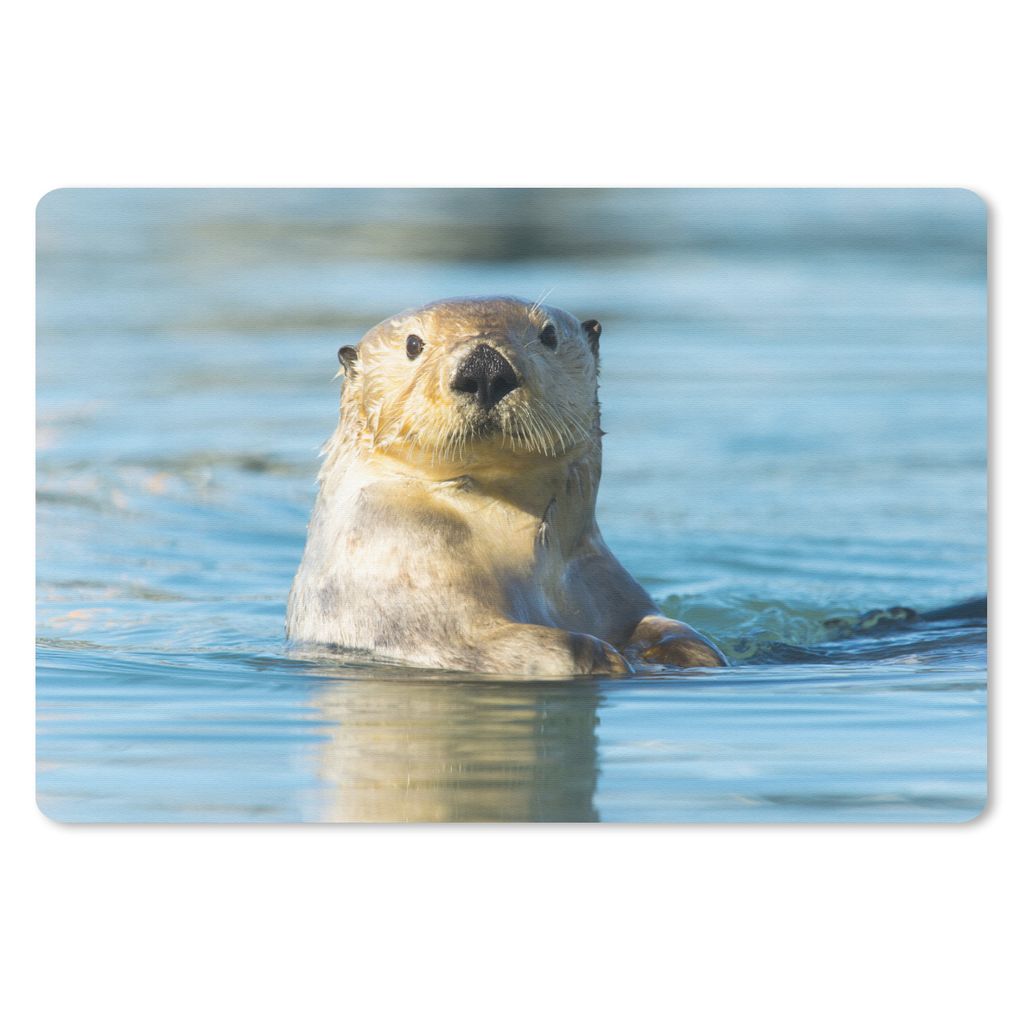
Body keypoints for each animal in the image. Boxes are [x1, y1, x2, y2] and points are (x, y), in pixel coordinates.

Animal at [286, 296, 726, 676]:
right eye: (413, 344)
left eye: (548, 334)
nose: (484, 368)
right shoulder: (402, 568)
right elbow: (474, 637)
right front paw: (603, 656)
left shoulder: (599, 575)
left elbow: (656, 623)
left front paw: (685, 650)